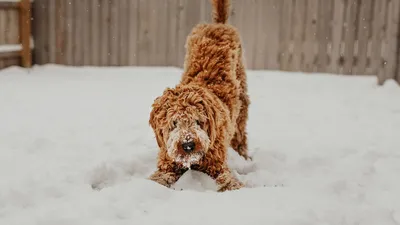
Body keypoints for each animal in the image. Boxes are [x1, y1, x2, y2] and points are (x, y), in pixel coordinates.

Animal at [148, 0, 252, 192]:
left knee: (240, 134)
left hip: (242, 101)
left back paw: (243, 155)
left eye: (198, 120)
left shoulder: (217, 165)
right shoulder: (167, 163)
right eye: (174, 123)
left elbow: (228, 180)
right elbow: (158, 178)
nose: (188, 144)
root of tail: (218, 24)